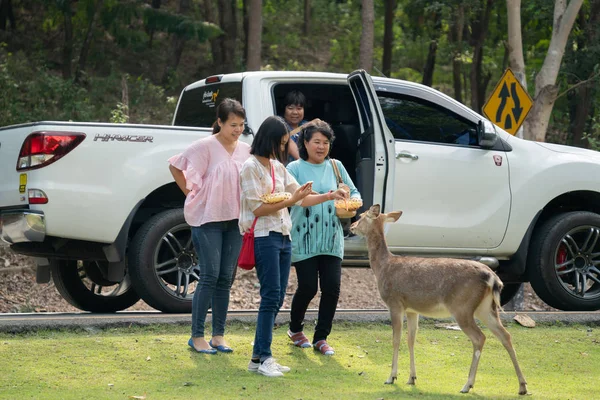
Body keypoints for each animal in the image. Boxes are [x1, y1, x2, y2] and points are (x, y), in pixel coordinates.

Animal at [350, 205, 528, 396]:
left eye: (361, 216)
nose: (352, 226)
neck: (382, 267)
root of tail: (493, 278)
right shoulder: (412, 309)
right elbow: (411, 340)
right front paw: (412, 378)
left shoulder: (394, 302)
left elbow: (396, 339)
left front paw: (391, 377)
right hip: (486, 308)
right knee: (505, 335)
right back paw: (522, 386)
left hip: (463, 307)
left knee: (480, 337)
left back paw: (467, 385)